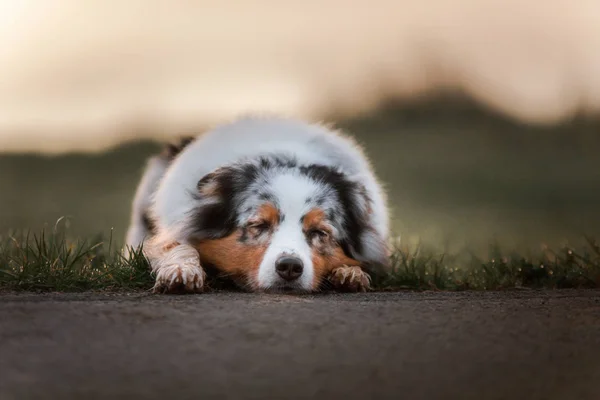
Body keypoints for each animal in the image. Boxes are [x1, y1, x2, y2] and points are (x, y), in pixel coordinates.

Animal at [124, 115, 392, 294]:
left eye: (320, 232)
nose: (289, 267)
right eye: (259, 225)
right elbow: (177, 246)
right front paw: (181, 272)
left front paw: (350, 273)